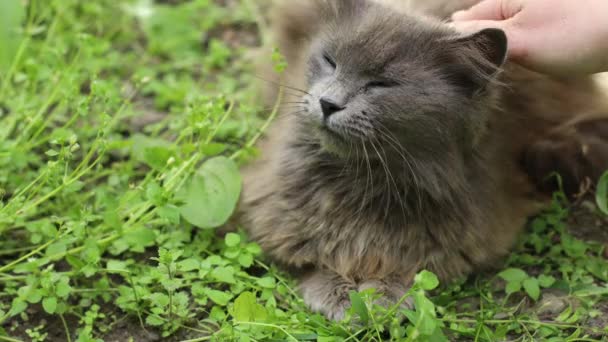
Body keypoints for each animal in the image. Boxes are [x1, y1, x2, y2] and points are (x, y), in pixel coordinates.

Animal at [240, 0, 608, 320]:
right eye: (330, 61)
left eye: (382, 84)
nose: (328, 103)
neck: (368, 177)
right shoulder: (274, 201)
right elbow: (311, 252)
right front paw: (338, 292)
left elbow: (412, 268)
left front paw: (383, 295)